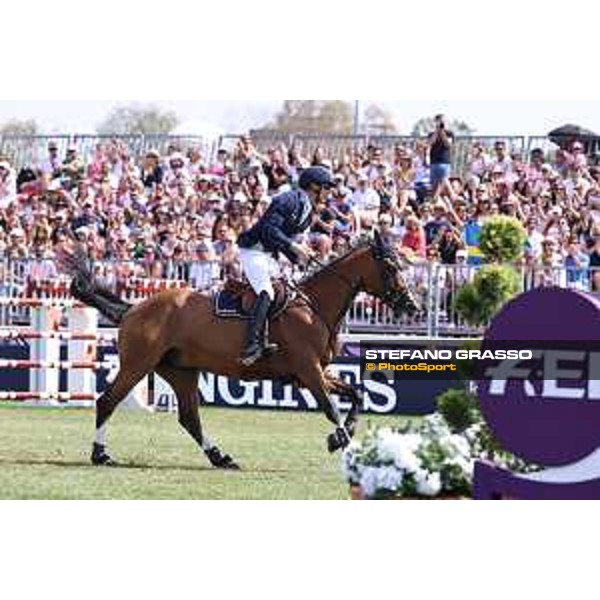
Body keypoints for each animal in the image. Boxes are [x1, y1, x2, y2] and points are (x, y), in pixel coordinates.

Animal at [59, 232, 418, 472]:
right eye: (390, 266)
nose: (412, 306)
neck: (314, 307)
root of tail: (134, 308)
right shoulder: (309, 371)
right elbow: (331, 408)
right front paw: (343, 443)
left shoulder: (313, 372)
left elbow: (355, 394)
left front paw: (341, 437)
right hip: (138, 364)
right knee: (108, 402)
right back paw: (100, 455)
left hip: (180, 370)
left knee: (189, 418)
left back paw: (221, 457)